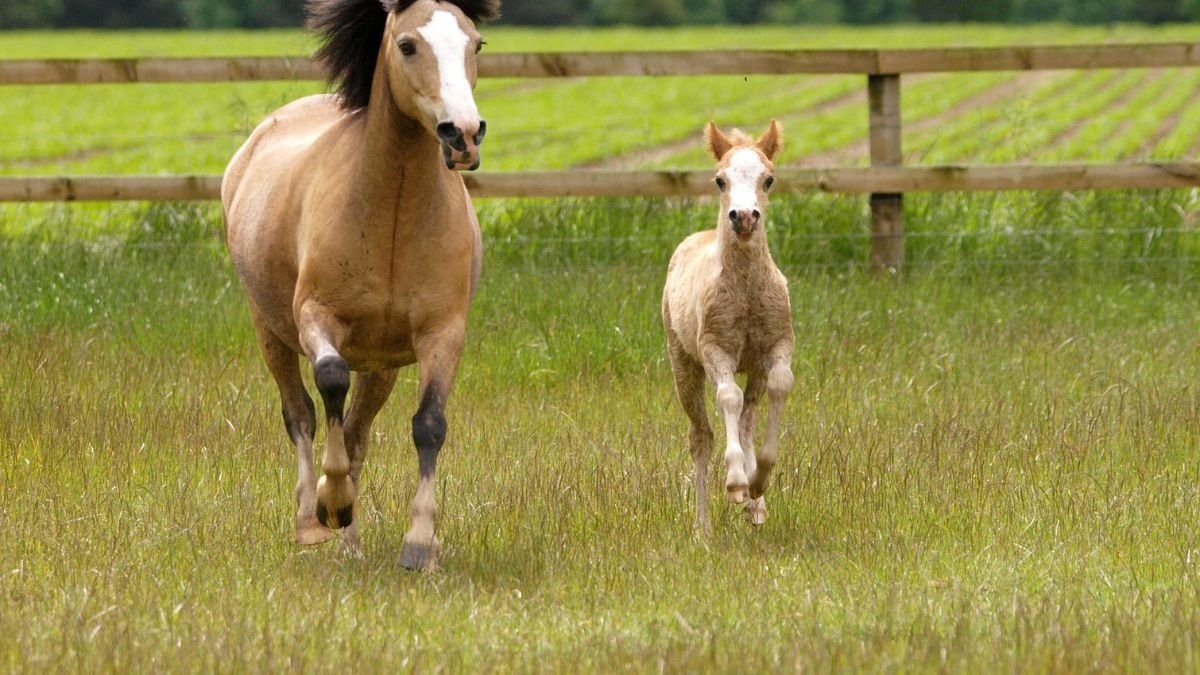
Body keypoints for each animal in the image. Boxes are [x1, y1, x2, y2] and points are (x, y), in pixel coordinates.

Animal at [221, 0, 500, 570]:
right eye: (407, 45)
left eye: (476, 42)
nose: (462, 134)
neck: (391, 213)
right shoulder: (317, 318)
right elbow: (329, 381)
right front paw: (331, 504)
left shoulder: (443, 334)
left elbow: (428, 424)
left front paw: (419, 544)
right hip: (270, 333)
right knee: (301, 415)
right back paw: (312, 522)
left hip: (381, 366)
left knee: (356, 433)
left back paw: (349, 541)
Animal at [661, 120, 795, 534]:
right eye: (720, 180)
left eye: (769, 178)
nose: (745, 217)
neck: (747, 290)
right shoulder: (715, 349)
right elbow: (728, 398)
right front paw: (736, 482)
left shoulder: (776, 346)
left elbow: (780, 386)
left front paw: (758, 482)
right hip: (683, 365)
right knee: (701, 436)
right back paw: (702, 527)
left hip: (753, 368)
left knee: (748, 420)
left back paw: (756, 505)